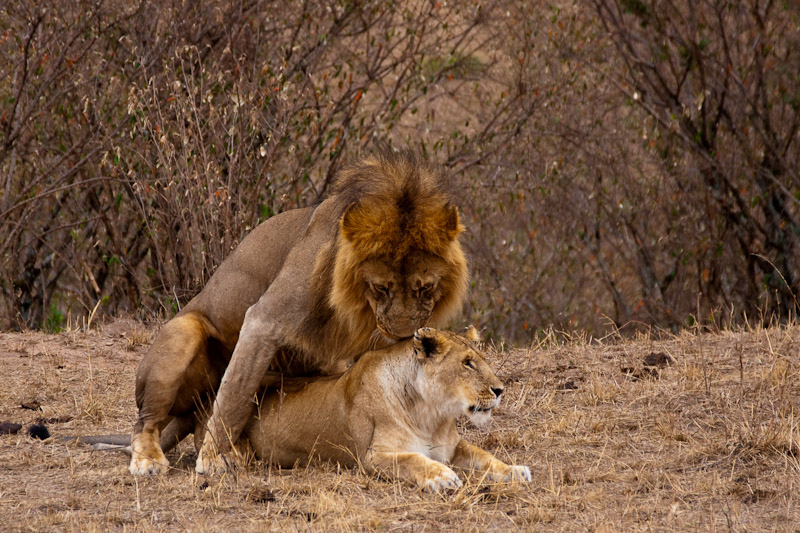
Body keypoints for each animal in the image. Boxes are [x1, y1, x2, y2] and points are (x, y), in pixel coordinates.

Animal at [131, 149, 468, 474]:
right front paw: (213, 458)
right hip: (183, 333)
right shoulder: (264, 320)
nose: (401, 335)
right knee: (146, 421)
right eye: (380, 288)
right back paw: (149, 460)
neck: (357, 307)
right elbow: (235, 394)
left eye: (424, 288)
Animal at [211, 326, 532, 488]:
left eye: (482, 359)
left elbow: (486, 457)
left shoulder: (453, 448)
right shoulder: (371, 457)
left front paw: (515, 471)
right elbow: (413, 459)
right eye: (467, 363)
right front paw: (441, 477)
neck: (430, 415)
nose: (500, 390)